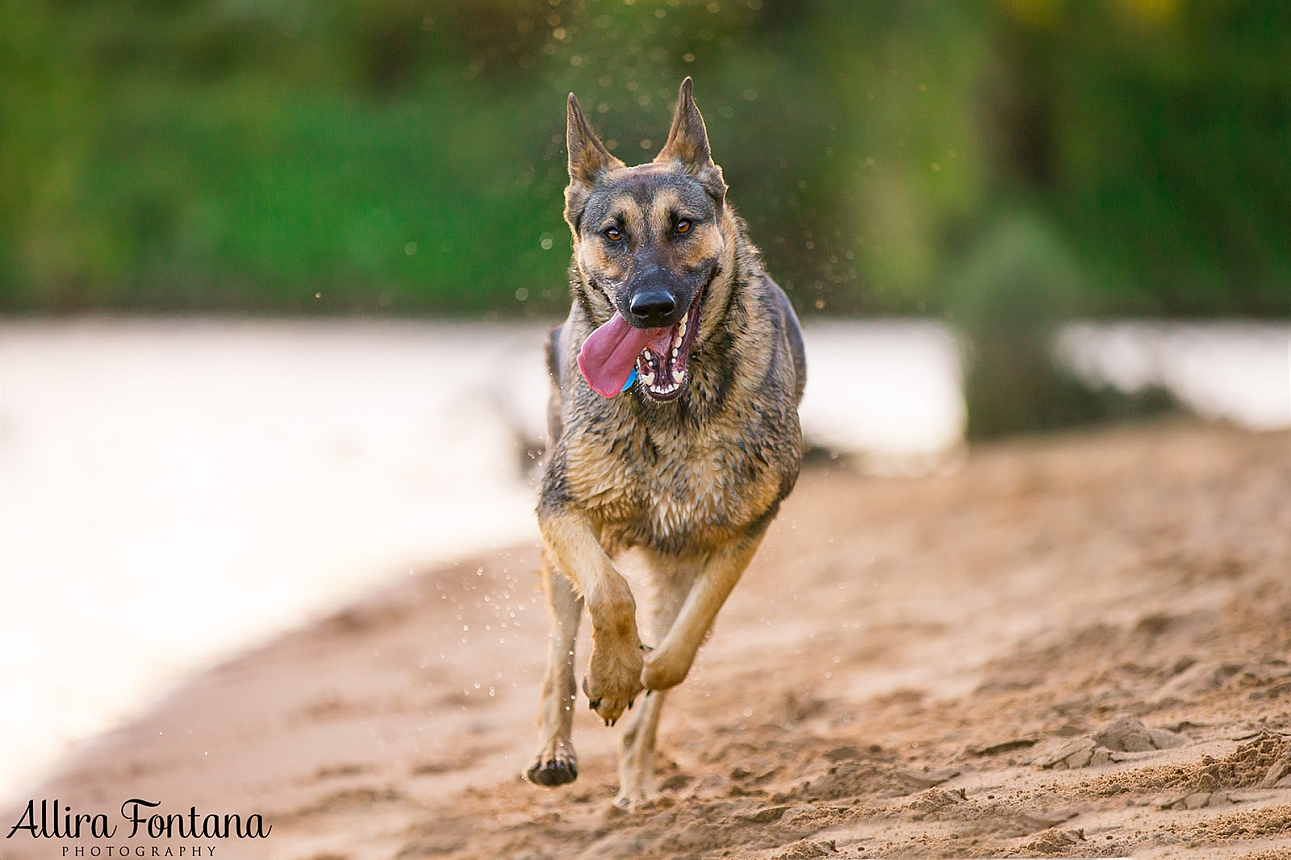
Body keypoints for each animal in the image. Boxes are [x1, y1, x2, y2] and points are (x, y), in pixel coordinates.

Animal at [526, 78, 805, 805]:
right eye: (613, 234)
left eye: (682, 225)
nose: (651, 307)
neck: (672, 412)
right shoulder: (562, 509)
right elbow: (609, 593)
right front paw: (614, 672)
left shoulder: (743, 531)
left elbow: (682, 647)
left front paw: (639, 675)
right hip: (557, 554)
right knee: (558, 652)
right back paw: (555, 747)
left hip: (677, 559)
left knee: (651, 681)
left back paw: (635, 776)